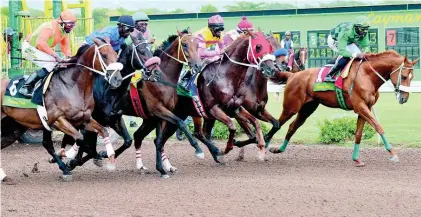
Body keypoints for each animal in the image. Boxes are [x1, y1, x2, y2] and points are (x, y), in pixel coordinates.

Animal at [1, 38, 123, 181]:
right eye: (104, 55)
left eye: (116, 55)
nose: (117, 79)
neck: (72, 86)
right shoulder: (58, 120)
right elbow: (80, 138)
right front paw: (68, 155)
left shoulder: (84, 119)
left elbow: (103, 131)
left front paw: (107, 155)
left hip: (14, 127)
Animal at [268, 50, 418, 166]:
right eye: (404, 76)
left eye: (412, 78)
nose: (404, 98)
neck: (366, 75)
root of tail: (293, 75)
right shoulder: (360, 106)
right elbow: (378, 127)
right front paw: (393, 153)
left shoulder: (365, 108)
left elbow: (358, 134)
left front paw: (356, 159)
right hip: (291, 107)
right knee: (277, 124)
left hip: (307, 108)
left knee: (292, 126)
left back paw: (278, 149)